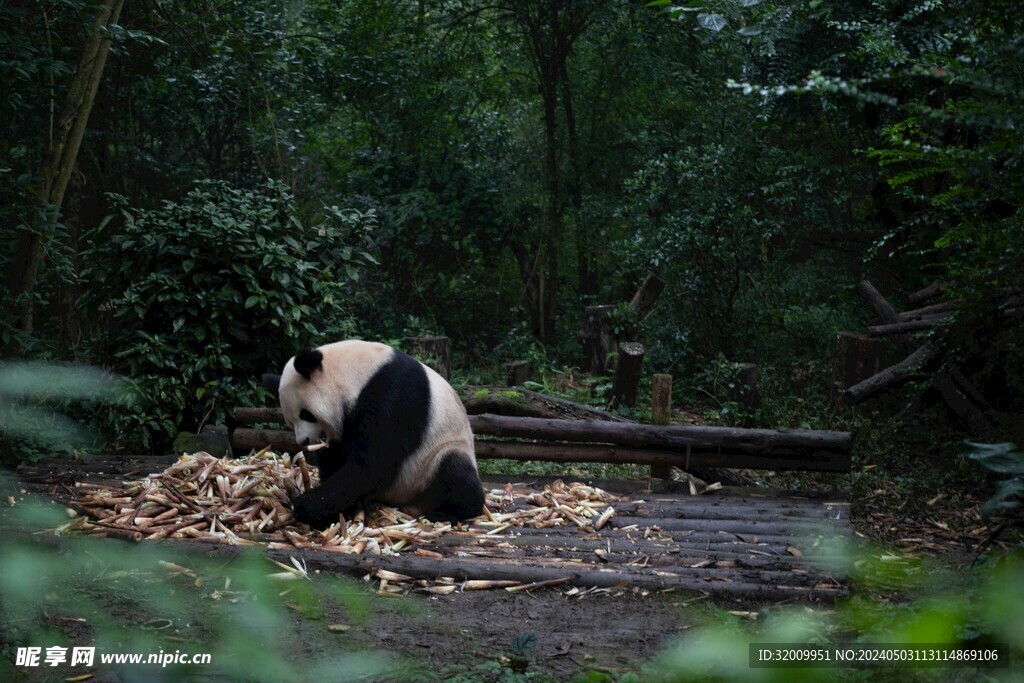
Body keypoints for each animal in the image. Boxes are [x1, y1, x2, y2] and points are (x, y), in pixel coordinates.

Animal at [264, 342, 487, 528]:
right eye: (290, 422)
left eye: (306, 414)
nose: (303, 440)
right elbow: (337, 456)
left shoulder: (393, 395)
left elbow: (374, 463)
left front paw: (306, 505)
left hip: (435, 459)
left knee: (455, 470)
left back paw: (447, 513)